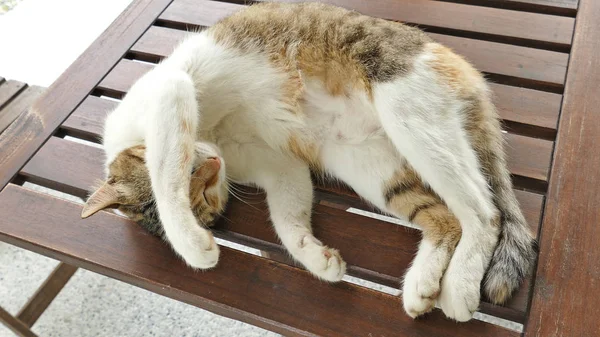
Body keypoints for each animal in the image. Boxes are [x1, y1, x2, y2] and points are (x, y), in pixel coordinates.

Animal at [79, 1, 536, 320]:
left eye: (199, 186)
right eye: (208, 198)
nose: (212, 166)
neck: (212, 135)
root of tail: (473, 79)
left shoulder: (170, 91)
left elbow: (163, 175)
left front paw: (193, 246)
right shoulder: (275, 162)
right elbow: (287, 215)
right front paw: (316, 257)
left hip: (409, 114)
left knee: (484, 213)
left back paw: (460, 287)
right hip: (371, 166)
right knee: (445, 218)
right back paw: (422, 285)